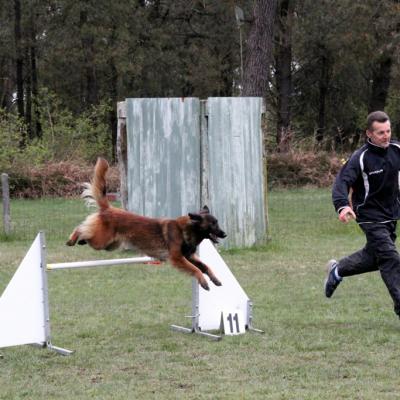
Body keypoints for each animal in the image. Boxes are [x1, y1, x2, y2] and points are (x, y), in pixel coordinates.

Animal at [66, 157, 226, 290]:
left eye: (217, 222)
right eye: (213, 224)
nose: (225, 234)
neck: (186, 230)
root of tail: (109, 208)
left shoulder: (189, 257)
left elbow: (205, 266)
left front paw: (215, 279)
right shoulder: (177, 258)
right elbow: (196, 269)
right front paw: (203, 281)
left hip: (110, 245)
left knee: (87, 233)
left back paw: (79, 241)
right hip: (101, 241)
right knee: (81, 228)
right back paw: (72, 239)